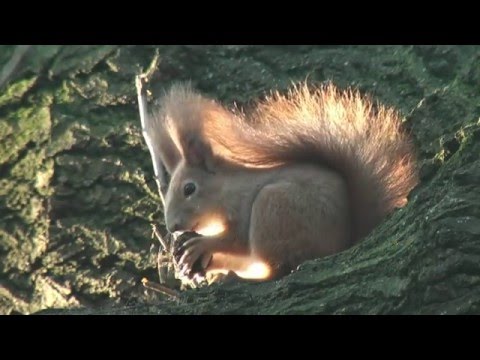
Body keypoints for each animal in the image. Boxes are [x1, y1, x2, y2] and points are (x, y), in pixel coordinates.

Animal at [138, 81, 416, 282]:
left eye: (189, 188)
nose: (173, 226)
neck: (226, 191)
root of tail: (346, 239)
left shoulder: (243, 209)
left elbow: (237, 240)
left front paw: (202, 245)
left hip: (273, 208)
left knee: (274, 268)